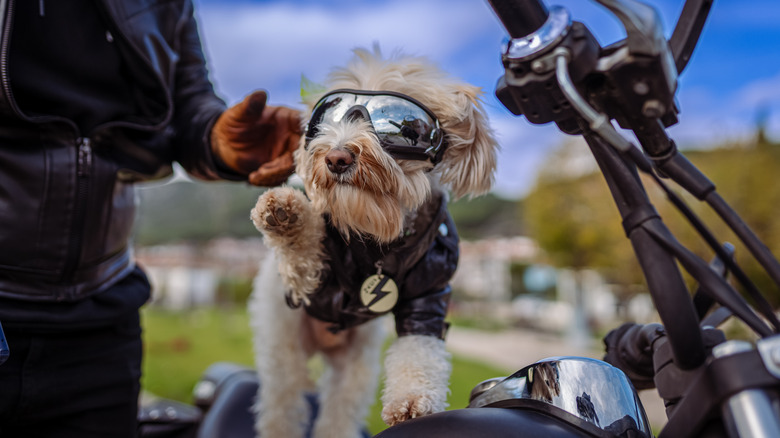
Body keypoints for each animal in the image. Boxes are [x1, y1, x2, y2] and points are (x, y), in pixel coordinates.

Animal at [250, 48, 500, 438]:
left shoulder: (428, 294)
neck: (378, 238)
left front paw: (412, 400)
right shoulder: (309, 282)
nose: (336, 157)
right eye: (326, 118)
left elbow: (419, 350)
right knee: (281, 408)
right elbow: (302, 252)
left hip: (355, 367)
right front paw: (287, 213)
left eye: (395, 127)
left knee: (339, 414)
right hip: (282, 353)